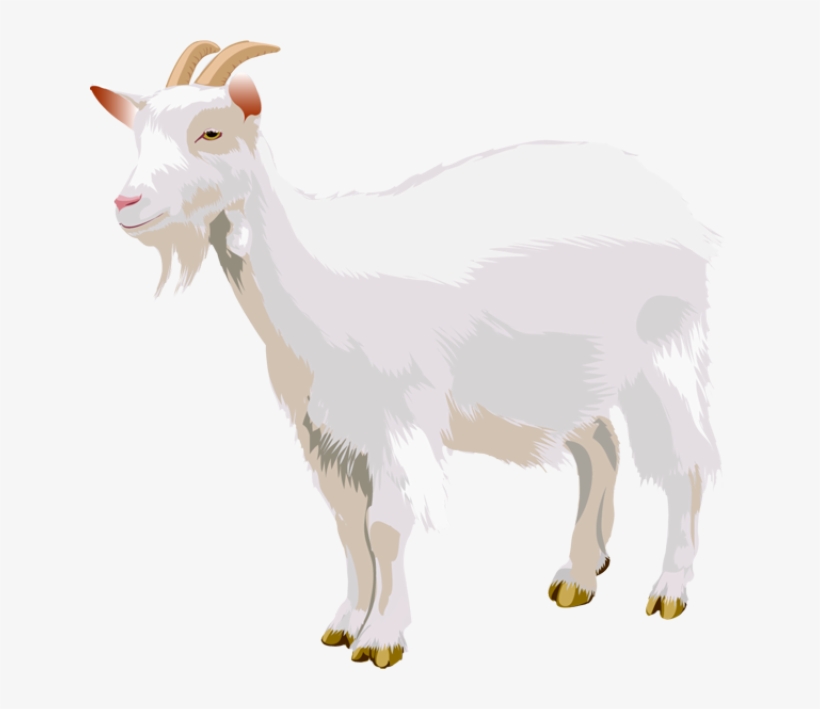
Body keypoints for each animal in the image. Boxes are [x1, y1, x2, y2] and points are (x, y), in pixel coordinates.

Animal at [91, 40, 721, 669]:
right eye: (139, 134)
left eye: (212, 132)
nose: (126, 202)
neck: (314, 276)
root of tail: (669, 196)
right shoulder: (324, 432)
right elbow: (349, 527)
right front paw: (345, 623)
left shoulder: (397, 419)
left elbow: (386, 527)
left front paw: (381, 639)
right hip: (563, 376)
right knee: (601, 447)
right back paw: (581, 574)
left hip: (666, 351)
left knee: (686, 459)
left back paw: (669, 589)